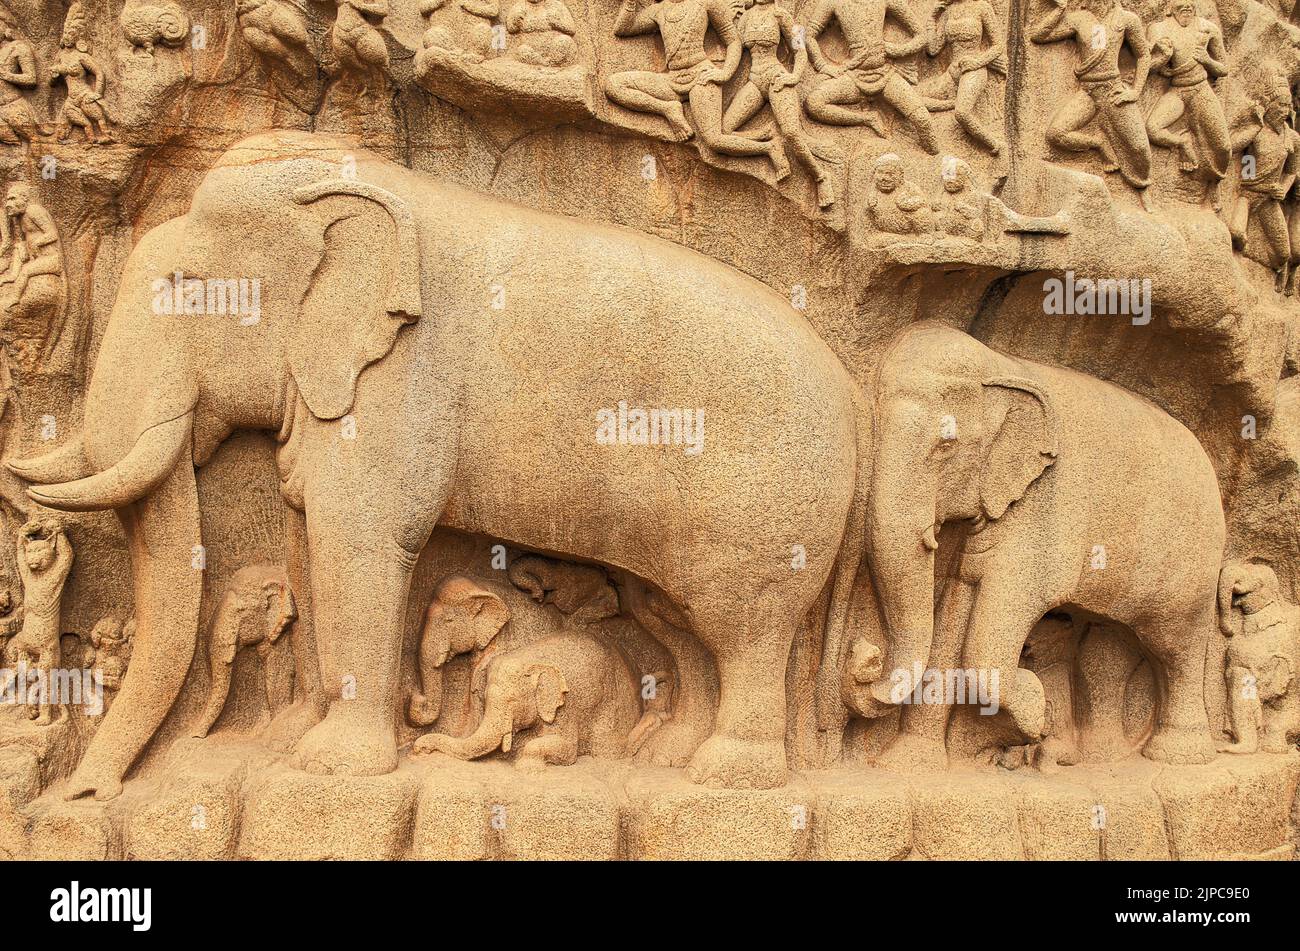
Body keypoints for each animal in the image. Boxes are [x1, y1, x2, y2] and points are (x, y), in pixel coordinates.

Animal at [413, 631, 655, 774]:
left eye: (512, 701)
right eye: (486, 699)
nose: (418, 748)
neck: (531, 660)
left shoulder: (564, 704)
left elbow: (567, 748)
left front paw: (526, 766)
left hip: (613, 699)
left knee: (608, 745)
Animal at [847, 323, 1222, 769]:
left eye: (946, 446)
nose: (864, 656)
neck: (1003, 365)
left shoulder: (1046, 512)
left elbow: (990, 633)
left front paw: (1031, 709)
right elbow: (954, 616)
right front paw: (907, 763)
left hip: (1193, 563)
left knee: (1177, 647)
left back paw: (1179, 754)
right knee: (1106, 652)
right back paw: (1101, 757)